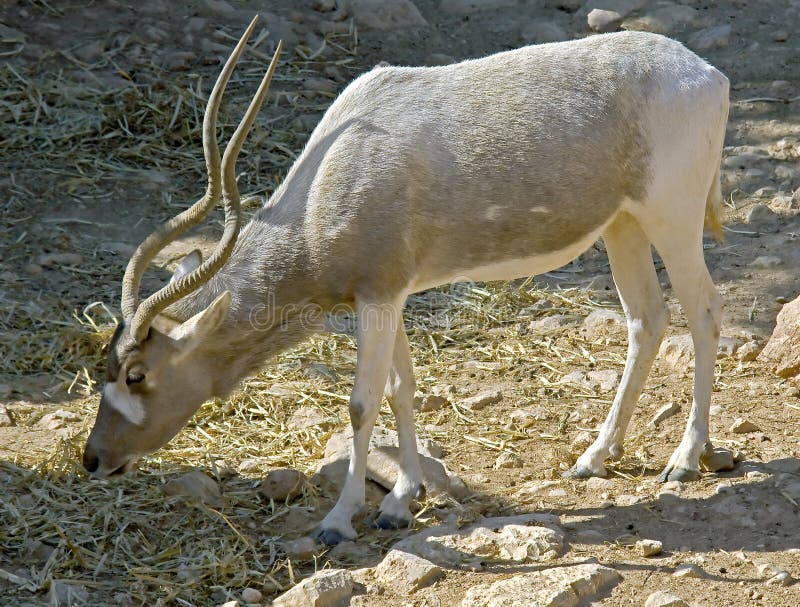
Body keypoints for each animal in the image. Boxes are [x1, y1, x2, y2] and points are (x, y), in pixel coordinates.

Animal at [83, 15, 732, 548]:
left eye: (137, 374)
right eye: (105, 368)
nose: (94, 459)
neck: (329, 184)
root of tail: (707, 74)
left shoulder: (377, 295)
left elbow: (361, 403)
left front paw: (339, 521)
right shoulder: (387, 295)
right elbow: (401, 388)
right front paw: (400, 501)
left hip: (671, 217)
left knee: (703, 312)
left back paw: (685, 458)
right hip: (623, 225)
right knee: (646, 319)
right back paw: (595, 457)